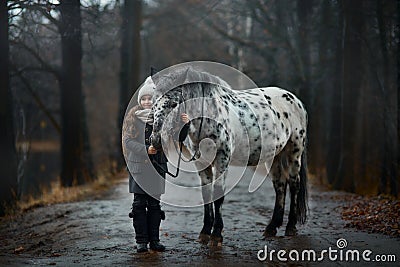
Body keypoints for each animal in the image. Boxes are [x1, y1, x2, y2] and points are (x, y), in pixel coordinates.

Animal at [148, 66, 308, 245]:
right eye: (154, 102)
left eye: (174, 103)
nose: (155, 140)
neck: (209, 115)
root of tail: (294, 100)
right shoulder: (201, 163)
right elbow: (206, 194)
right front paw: (205, 232)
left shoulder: (221, 158)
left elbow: (218, 193)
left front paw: (216, 234)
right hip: (274, 156)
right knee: (280, 186)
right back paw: (272, 228)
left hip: (294, 152)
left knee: (294, 184)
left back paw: (290, 227)